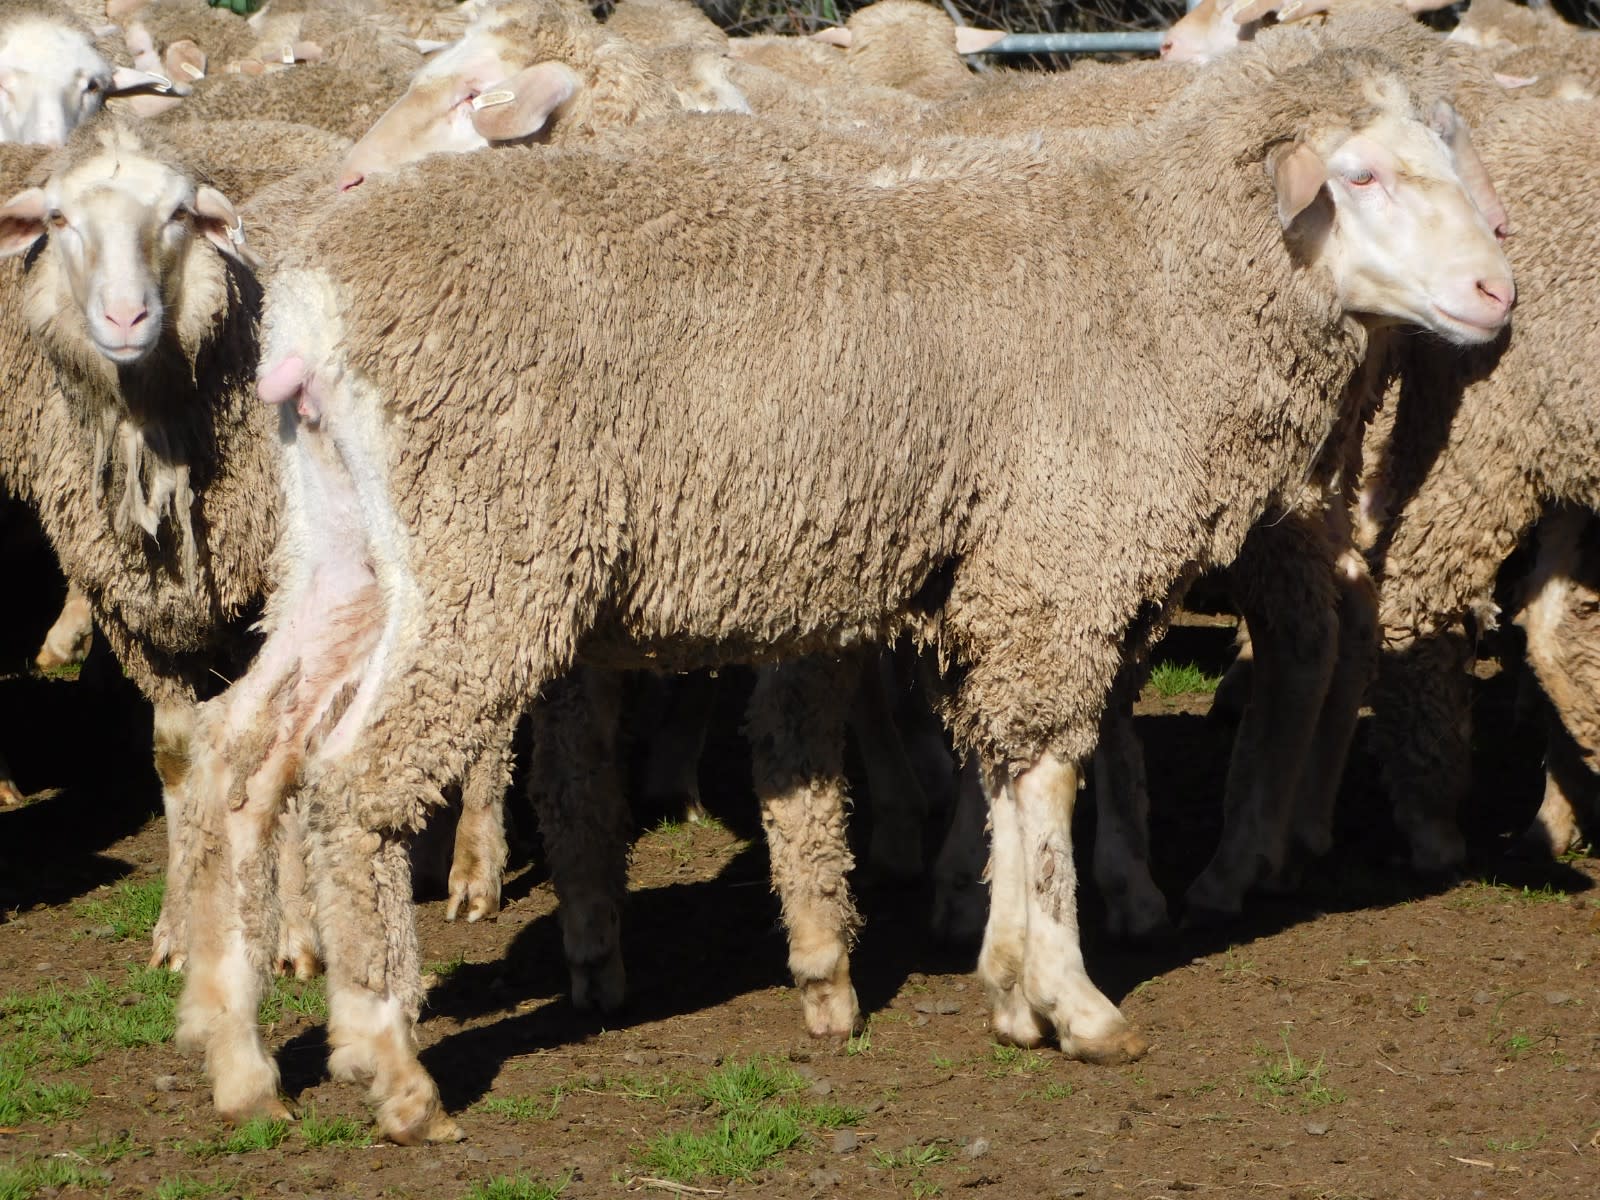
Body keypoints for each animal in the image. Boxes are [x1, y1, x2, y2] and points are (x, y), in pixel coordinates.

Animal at [162, 43, 1516, 1141]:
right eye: (1362, 176)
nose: (1498, 296)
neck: (1152, 279)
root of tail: (310, 309)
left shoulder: (1005, 569)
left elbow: (1004, 770)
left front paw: (1007, 978)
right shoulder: (1057, 555)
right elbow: (1046, 771)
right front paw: (1071, 999)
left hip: (347, 549)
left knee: (239, 751)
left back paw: (240, 1058)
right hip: (489, 556)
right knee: (352, 782)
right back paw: (390, 1070)